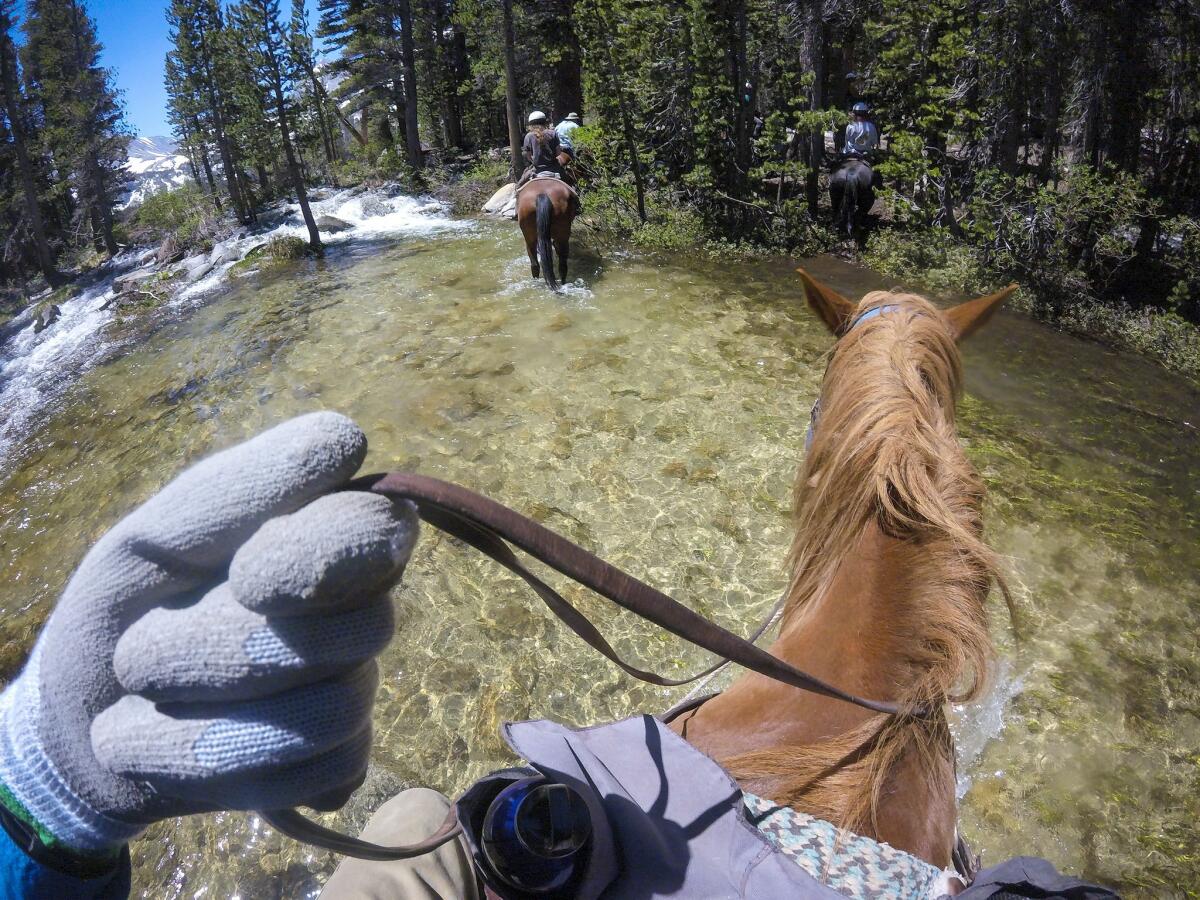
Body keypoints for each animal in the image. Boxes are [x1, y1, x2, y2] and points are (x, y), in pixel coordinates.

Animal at [516, 160, 576, 290]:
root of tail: (542, 194)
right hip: (562, 235)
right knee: (562, 264)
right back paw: (562, 283)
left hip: (529, 236)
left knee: (535, 263)